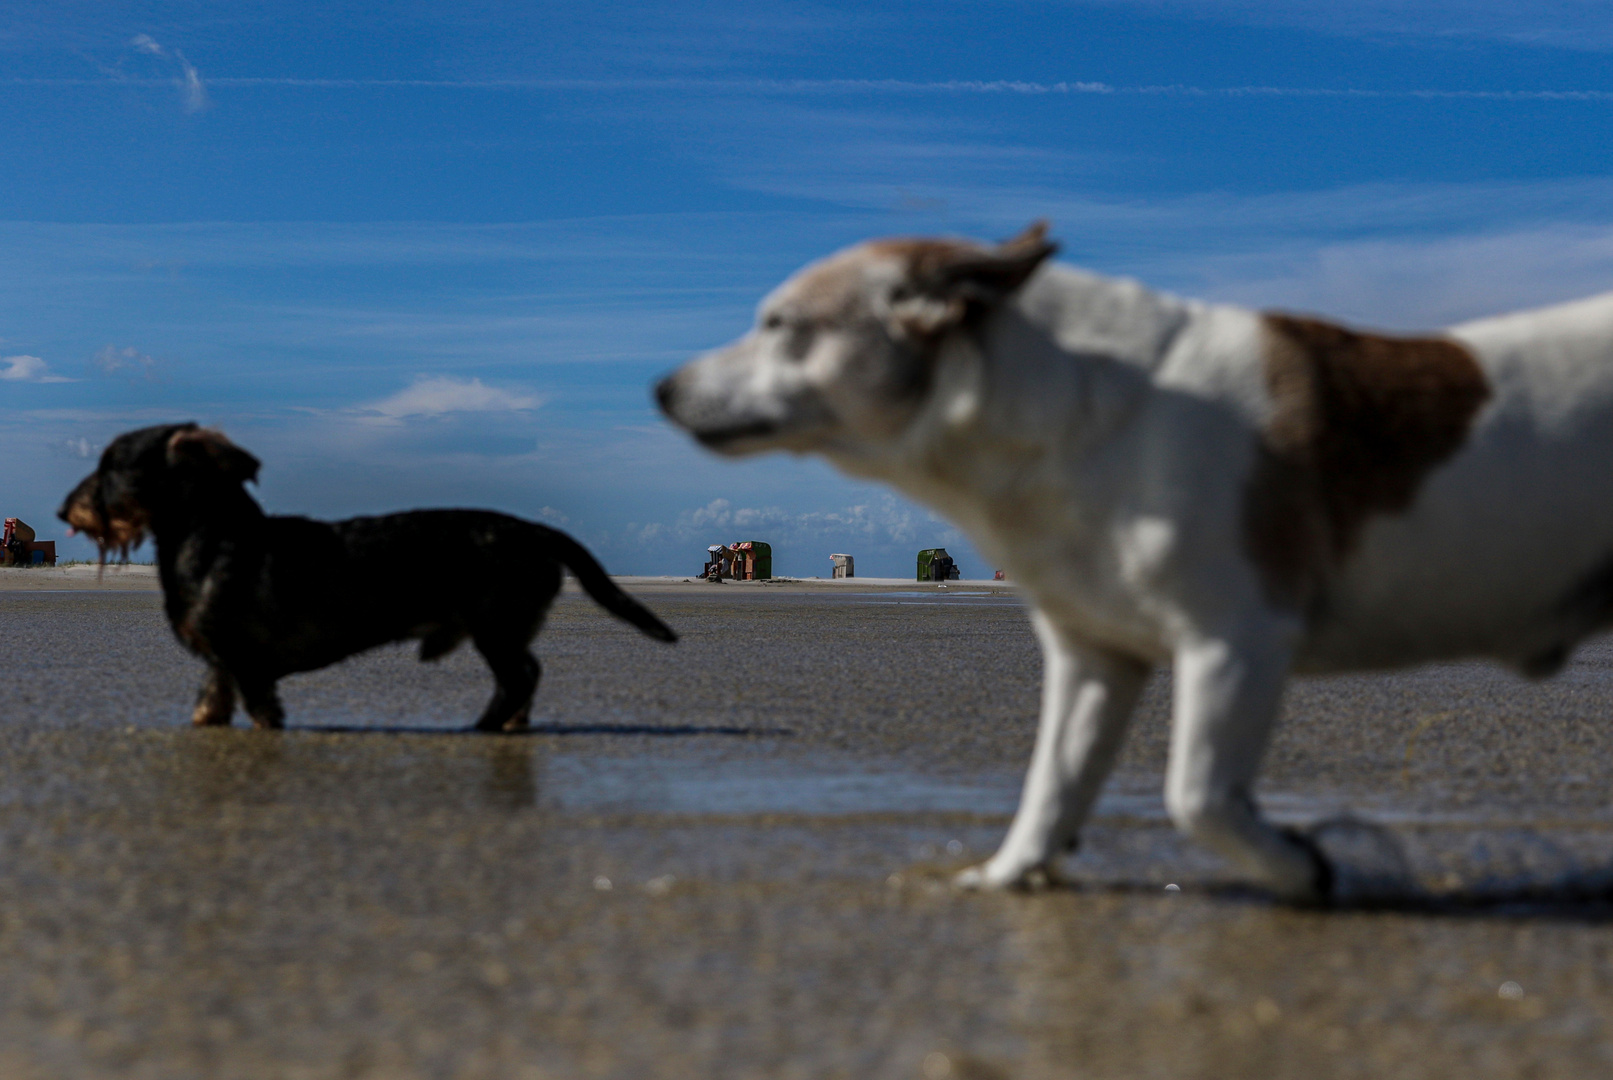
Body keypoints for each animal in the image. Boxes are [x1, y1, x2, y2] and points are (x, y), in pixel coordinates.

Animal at [56, 428, 674, 731]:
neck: (212, 538)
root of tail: (536, 531)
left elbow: (262, 711)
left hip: (495, 626)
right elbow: (210, 702)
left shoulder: (248, 663)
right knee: (528, 676)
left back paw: (483, 727)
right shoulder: (221, 660)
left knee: (519, 678)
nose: (64, 511)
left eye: (111, 464)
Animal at [654, 222, 1613, 902]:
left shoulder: (1233, 641)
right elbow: (1052, 782)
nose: (662, 388)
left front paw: (1300, 865)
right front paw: (1010, 876)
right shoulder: (1092, 658)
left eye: (780, 326)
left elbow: (1195, 793)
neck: (1078, 408)